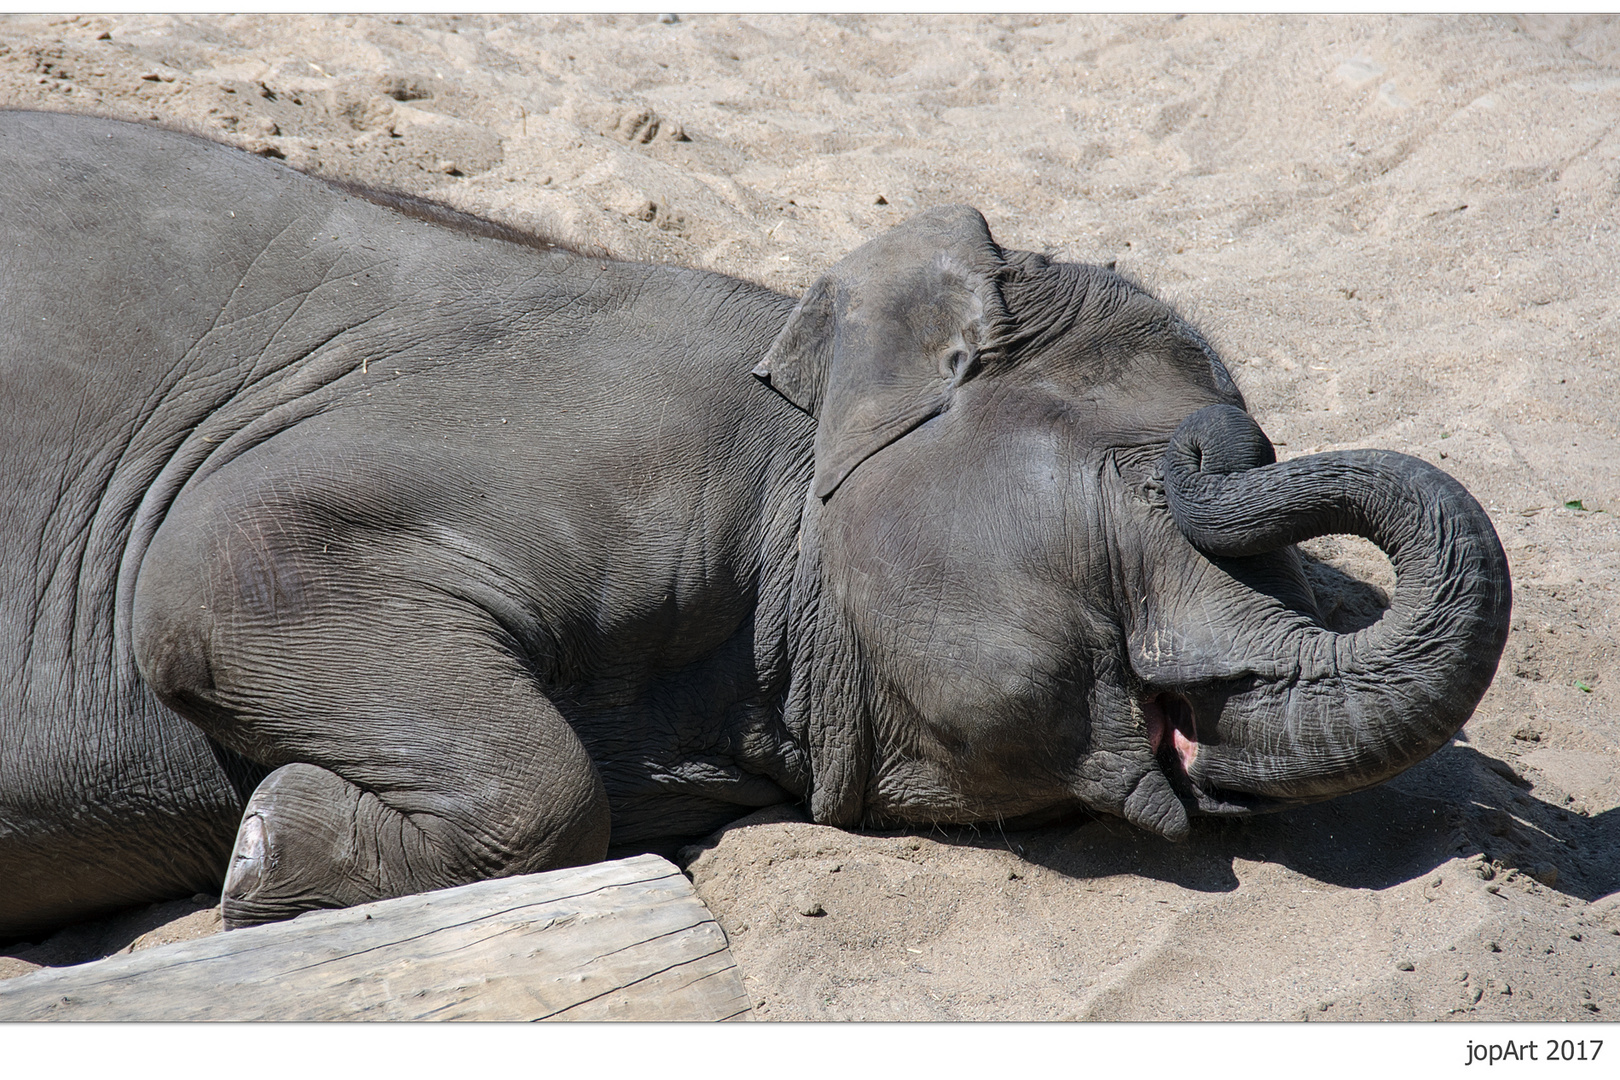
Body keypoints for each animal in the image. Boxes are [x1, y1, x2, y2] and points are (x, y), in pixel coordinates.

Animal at [0, 110, 1509, 939]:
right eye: (1170, 472)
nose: (1225, 448)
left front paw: (272, 839)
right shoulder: (581, 437)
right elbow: (224, 561)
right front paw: (267, 852)